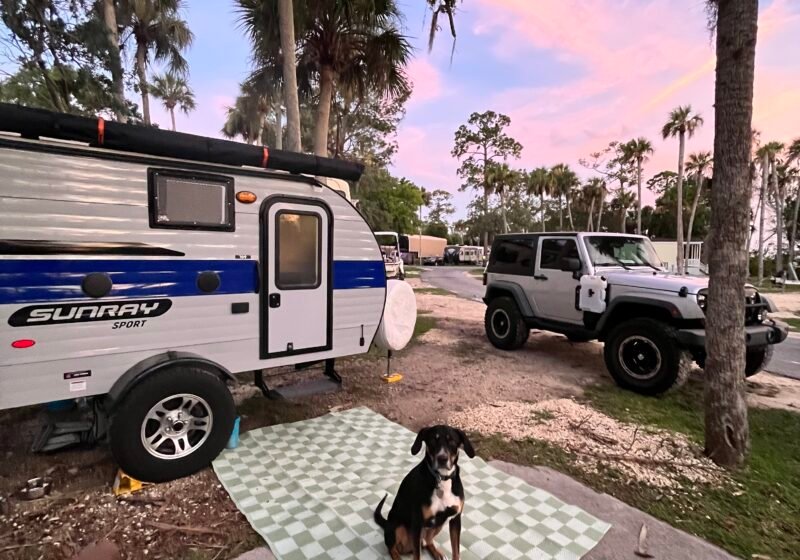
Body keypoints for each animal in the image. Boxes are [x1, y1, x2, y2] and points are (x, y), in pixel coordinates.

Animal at [376, 424, 476, 560]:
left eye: (452, 441)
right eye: (433, 440)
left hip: (438, 524)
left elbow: (456, 551)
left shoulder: (455, 519)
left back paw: (437, 553)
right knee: (392, 548)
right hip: (397, 527)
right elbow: (417, 556)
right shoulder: (417, 523)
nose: (442, 458)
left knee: (428, 540)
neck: (441, 479)